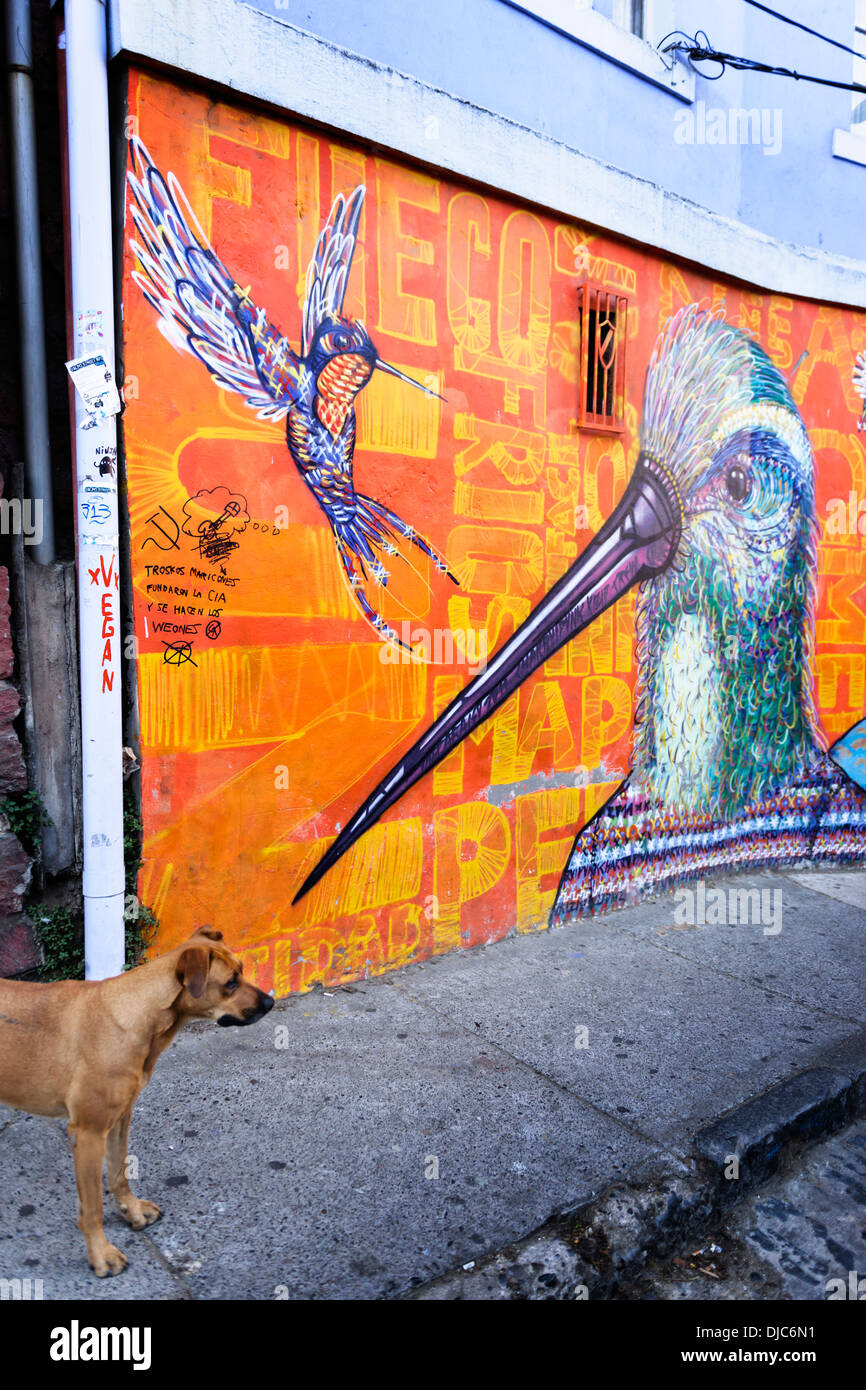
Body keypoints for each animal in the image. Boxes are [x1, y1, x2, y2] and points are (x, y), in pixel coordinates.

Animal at [0, 928, 271, 1273]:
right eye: (231, 982)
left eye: (242, 970)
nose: (271, 1002)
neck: (137, 1013)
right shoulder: (88, 1134)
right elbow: (92, 1207)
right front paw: (100, 1253)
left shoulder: (120, 1119)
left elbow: (120, 1172)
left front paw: (131, 1210)